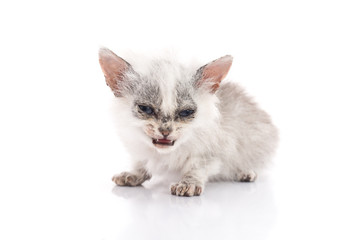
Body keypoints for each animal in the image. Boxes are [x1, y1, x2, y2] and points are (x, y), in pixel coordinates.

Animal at [98, 47, 278, 197]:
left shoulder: (214, 151)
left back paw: (246, 173)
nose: (165, 131)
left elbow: (197, 168)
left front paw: (188, 184)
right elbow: (141, 163)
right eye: (146, 109)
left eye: (186, 113)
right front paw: (133, 174)